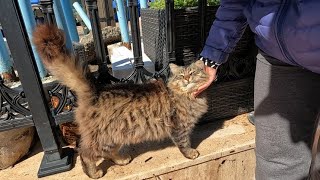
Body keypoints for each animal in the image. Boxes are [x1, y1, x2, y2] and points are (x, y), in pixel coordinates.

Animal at [31, 24, 208, 179]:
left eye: (192, 73)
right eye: (181, 75)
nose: (187, 79)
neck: (189, 96)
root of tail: (96, 91)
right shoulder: (179, 126)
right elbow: (184, 143)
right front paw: (191, 153)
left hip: (113, 137)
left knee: (106, 152)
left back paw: (121, 160)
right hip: (101, 138)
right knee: (85, 153)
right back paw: (93, 173)